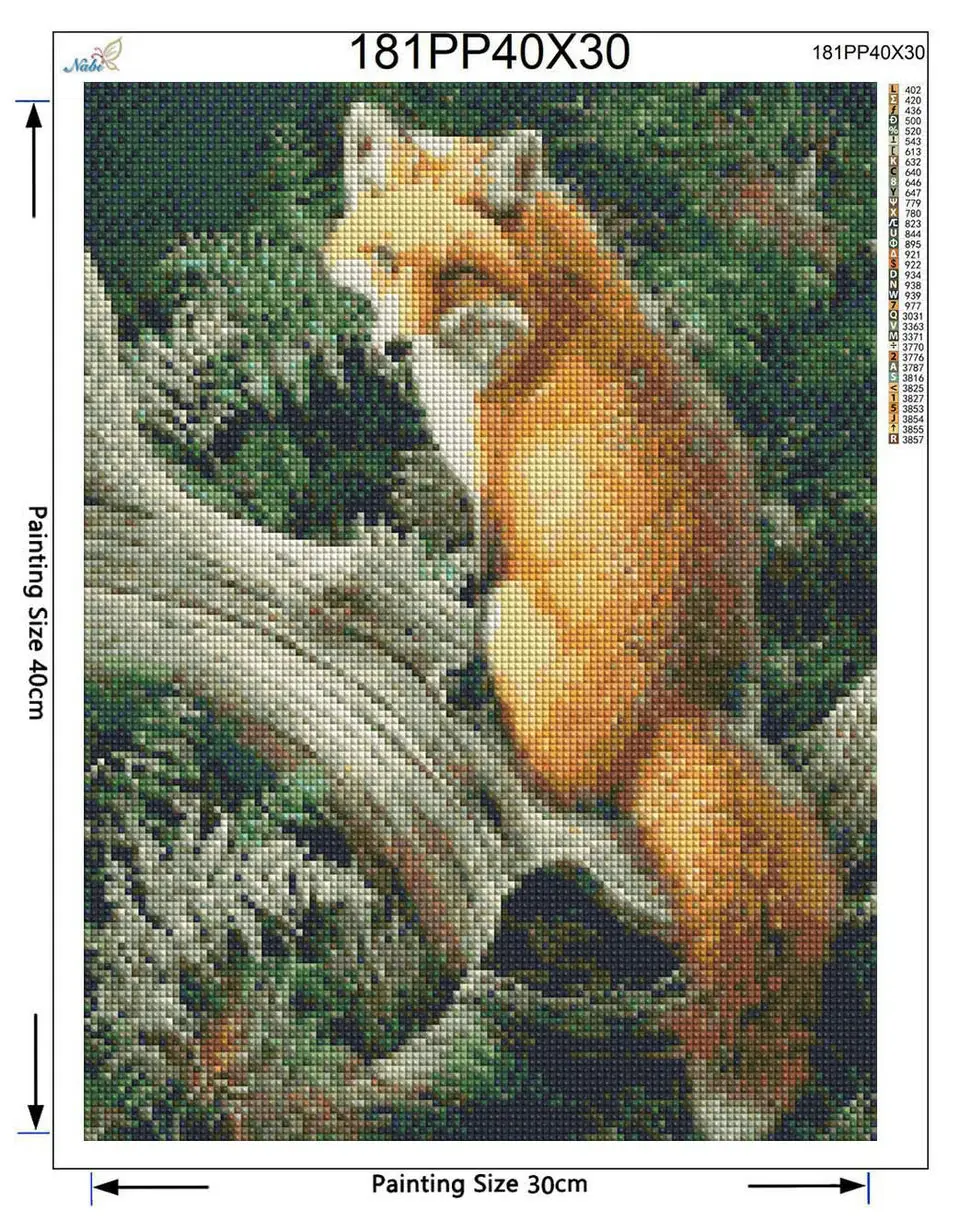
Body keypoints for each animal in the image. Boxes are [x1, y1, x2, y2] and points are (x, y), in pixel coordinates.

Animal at [323, 101, 840, 1138]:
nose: (390, 352)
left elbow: (479, 567)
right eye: (386, 258)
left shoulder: (498, 496)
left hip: (525, 621)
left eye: (457, 271)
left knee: (550, 780)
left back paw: (482, 708)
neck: (531, 321)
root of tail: (681, 709)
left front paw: (452, 621)